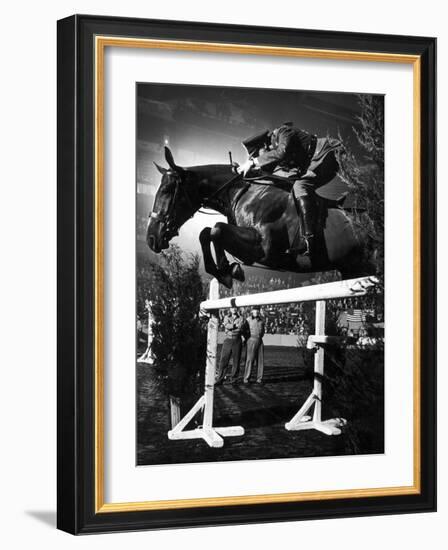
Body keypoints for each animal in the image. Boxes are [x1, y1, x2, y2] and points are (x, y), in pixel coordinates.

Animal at [146, 149, 374, 292]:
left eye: (167, 190)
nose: (151, 238)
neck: (242, 192)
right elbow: (206, 233)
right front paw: (223, 271)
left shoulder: (263, 248)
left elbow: (217, 230)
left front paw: (229, 270)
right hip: (350, 270)